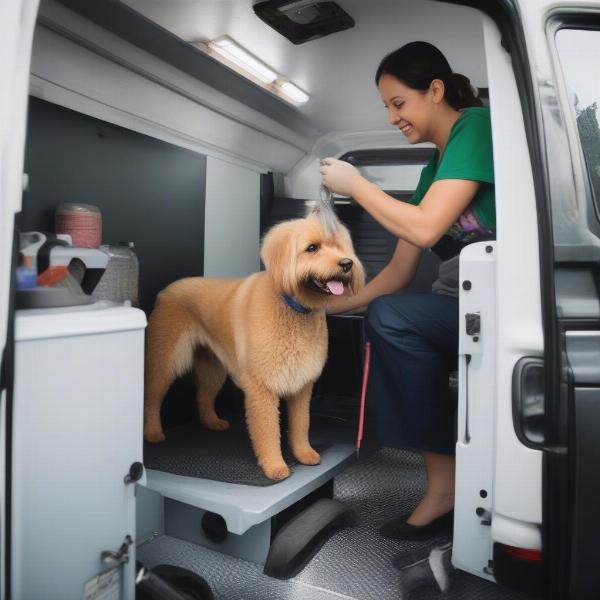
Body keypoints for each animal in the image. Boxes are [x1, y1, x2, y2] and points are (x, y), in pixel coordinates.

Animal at [143, 209, 364, 480]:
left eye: (339, 245)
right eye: (312, 248)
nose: (346, 263)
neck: (293, 308)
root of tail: (166, 290)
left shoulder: (302, 385)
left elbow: (301, 424)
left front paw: (304, 453)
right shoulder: (263, 388)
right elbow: (268, 432)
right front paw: (275, 466)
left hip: (213, 368)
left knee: (203, 396)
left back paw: (212, 423)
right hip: (165, 360)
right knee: (152, 399)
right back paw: (153, 433)